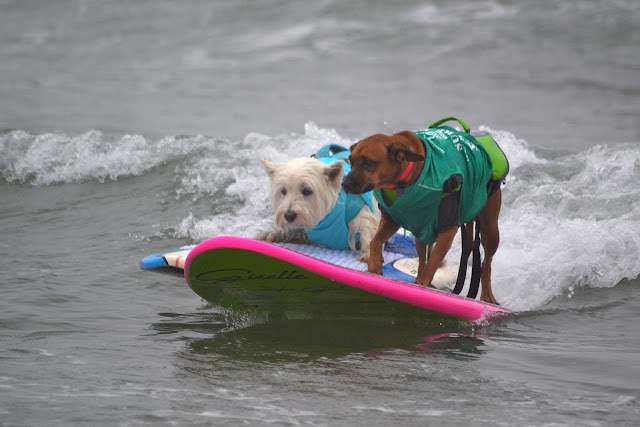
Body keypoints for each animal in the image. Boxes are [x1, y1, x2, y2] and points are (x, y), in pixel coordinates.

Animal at [342, 125, 508, 306]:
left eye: (369, 163)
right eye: (351, 161)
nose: (344, 184)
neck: (403, 180)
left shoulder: (447, 229)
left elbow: (432, 263)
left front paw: (422, 285)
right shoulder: (393, 219)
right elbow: (375, 241)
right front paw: (375, 264)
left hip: (490, 228)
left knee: (486, 264)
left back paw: (487, 295)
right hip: (421, 229)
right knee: (422, 258)